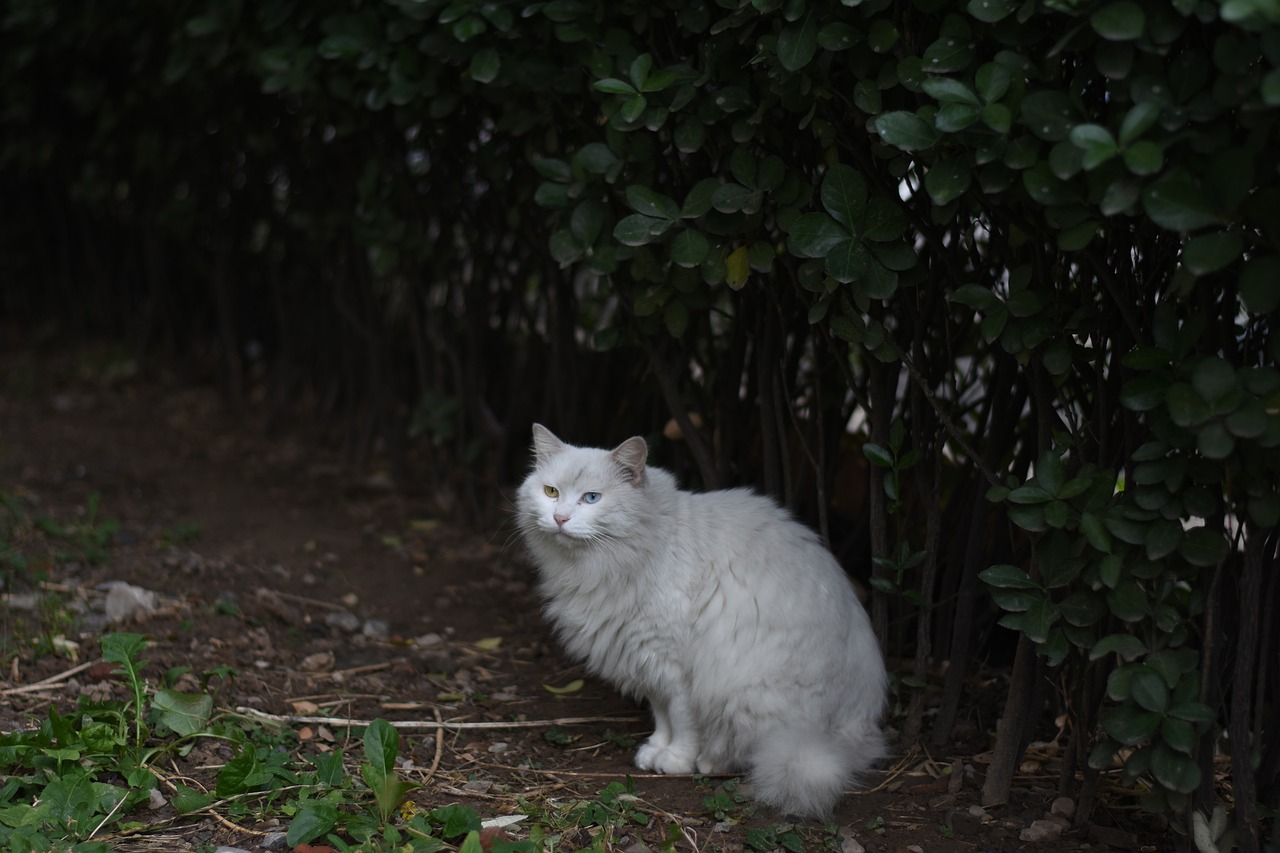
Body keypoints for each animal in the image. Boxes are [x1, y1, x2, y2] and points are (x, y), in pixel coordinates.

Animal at [514, 422, 885, 814]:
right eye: (551, 492)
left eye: (591, 498)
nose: (560, 518)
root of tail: (859, 727)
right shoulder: (648, 660)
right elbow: (661, 717)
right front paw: (654, 749)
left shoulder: (676, 668)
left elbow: (682, 722)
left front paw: (675, 760)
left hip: (751, 697)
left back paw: (710, 762)